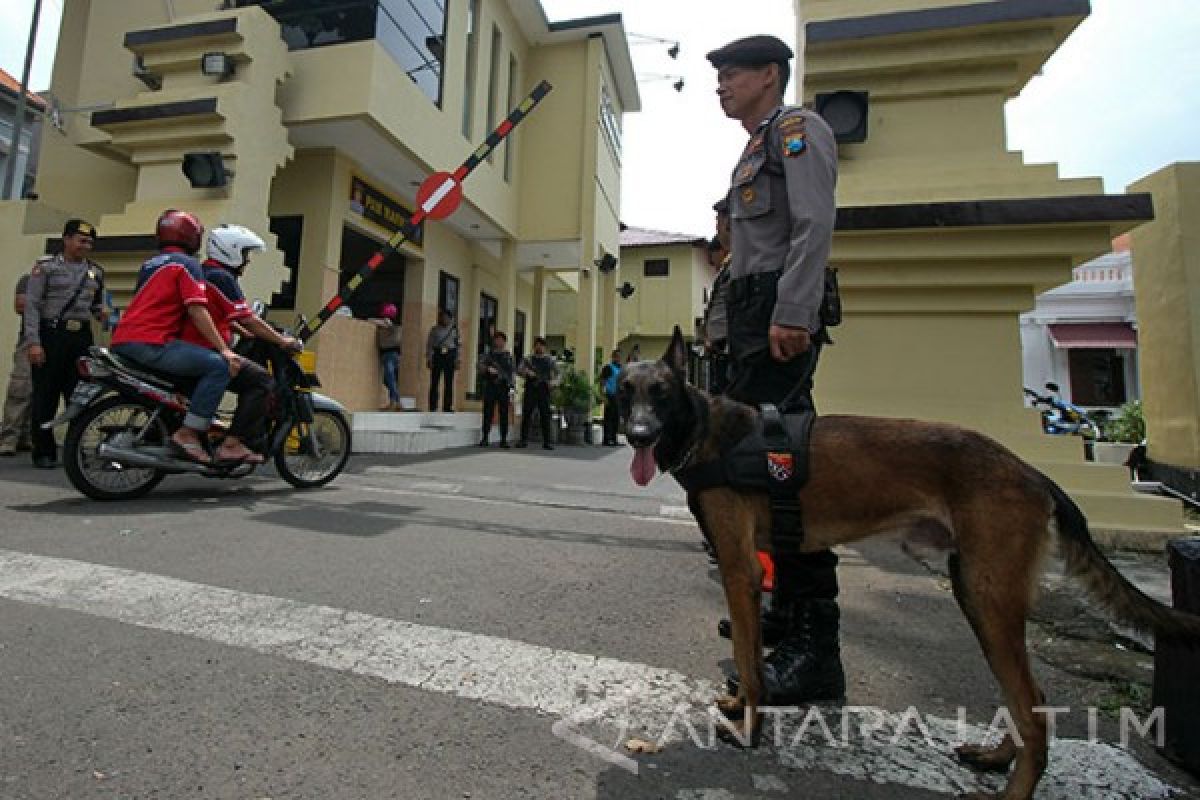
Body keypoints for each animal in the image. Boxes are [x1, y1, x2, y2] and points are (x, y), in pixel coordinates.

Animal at [619, 328, 1200, 800]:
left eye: (662, 393)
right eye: (627, 392)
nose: (638, 435)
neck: (704, 428)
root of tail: (1032, 471)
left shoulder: (741, 570)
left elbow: (748, 658)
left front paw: (749, 728)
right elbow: (746, 657)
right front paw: (741, 708)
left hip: (988, 597)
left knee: (1033, 710)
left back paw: (1012, 789)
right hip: (976, 592)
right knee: (1028, 699)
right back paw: (996, 757)